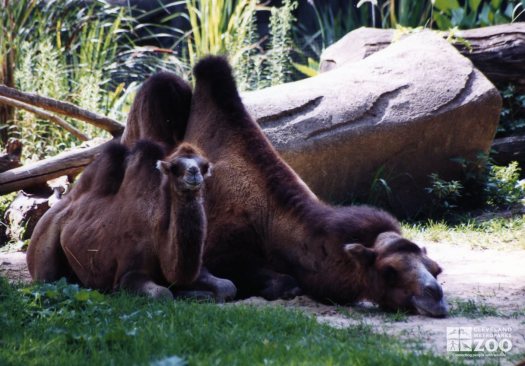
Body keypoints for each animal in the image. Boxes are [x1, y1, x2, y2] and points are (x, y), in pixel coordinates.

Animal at [26, 142, 215, 298]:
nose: (194, 172)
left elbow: (221, 286)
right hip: (43, 246)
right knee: (47, 279)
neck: (158, 235)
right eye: (175, 167)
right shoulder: (129, 272)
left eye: (204, 166)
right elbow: (162, 294)